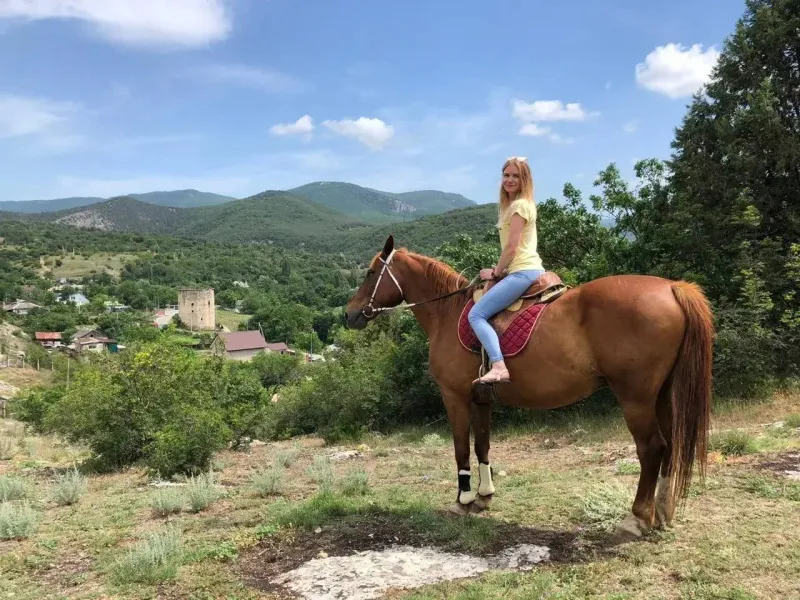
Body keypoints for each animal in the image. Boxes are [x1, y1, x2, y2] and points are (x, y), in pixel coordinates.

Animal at [344, 235, 714, 542]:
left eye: (371, 272)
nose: (349, 315)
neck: (447, 313)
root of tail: (672, 288)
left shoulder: (455, 397)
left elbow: (461, 448)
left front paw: (463, 500)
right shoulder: (481, 399)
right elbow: (482, 446)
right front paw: (484, 497)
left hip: (635, 397)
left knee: (652, 448)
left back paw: (637, 518)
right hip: (662, 394)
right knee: (671, 446)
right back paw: (663, 512)